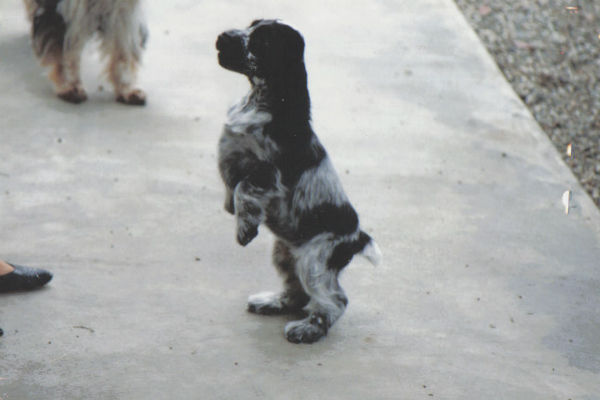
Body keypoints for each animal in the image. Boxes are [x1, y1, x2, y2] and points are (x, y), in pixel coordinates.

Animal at [218, 19, 382, 344]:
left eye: (262, 41)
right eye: (250, 26)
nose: (221, 38)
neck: (261, 100)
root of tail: (357, 238)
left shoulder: (268, 174)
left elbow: (244, 187)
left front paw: (244, 228)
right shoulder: (233, 152)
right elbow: (229, 178)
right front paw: (232, 209)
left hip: (315, 260)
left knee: (334, 300)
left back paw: (308, 329)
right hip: (285, 254)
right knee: (297, 292)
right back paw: (271, 303)